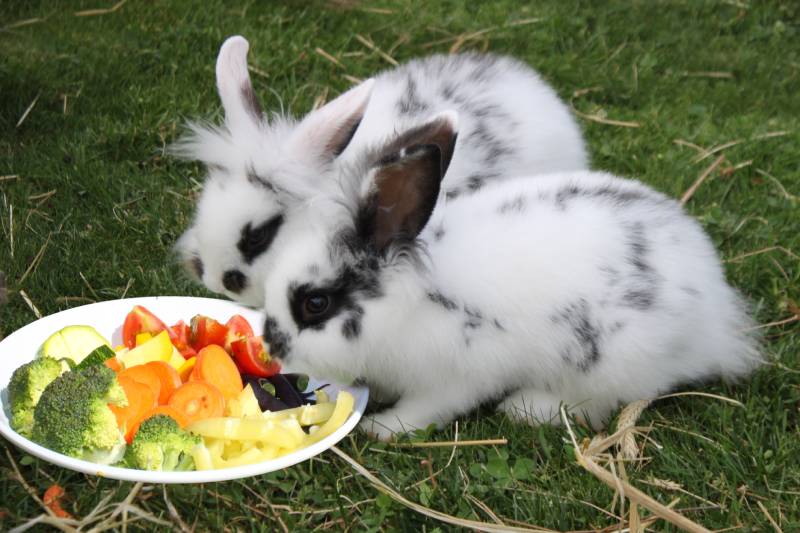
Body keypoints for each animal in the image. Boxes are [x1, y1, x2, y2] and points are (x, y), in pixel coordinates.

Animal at [255, 110, 762, 440]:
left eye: (315, 303)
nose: (270, 345)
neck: (406, 302)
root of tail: (715, 313)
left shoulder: (456, 376)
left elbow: (427, 410)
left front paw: (382, 428)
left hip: (611, 362)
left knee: (598, 404)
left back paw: (526, 407)